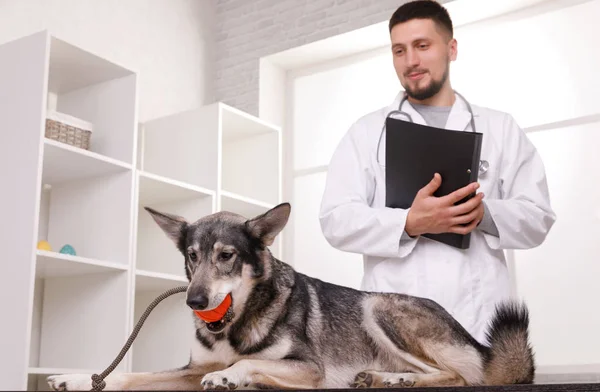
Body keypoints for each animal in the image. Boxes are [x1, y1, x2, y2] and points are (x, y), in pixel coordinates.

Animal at [48, 204, 536, 390]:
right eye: (191, 256)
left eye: (226, 256)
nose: (195, 301)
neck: (238, 325)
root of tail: (479, 344)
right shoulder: (189, 370)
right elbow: (134, 374)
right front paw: (79, 378)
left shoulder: (308, 367)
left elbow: (246, 363)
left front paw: (233, 376)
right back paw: (380, 377)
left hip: (377, 307)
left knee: (463, 377)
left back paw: (393, 380)